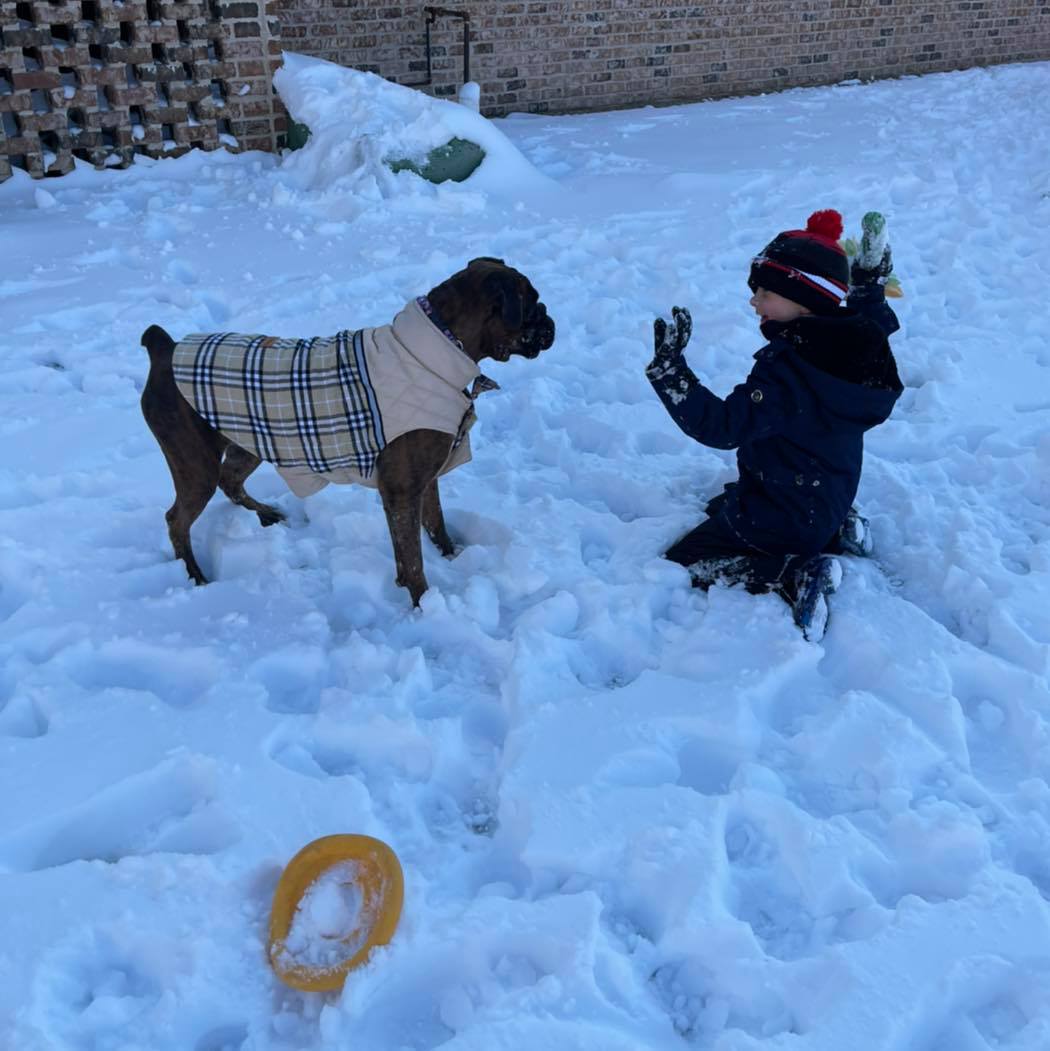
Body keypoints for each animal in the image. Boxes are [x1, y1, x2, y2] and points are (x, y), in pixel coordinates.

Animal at [140, 257, 555, 605]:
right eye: (532, 304)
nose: (551, 321)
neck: (441, 345)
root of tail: (166, 350)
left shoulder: (425, 480)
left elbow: (434, 526)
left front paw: (451, 560)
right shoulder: (401, 491)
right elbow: (412, 558)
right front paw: (424, 605)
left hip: (249, 441)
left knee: (231, 480)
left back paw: (266, 515)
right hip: (196, 464)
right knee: (178, 519)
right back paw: (195, 576)